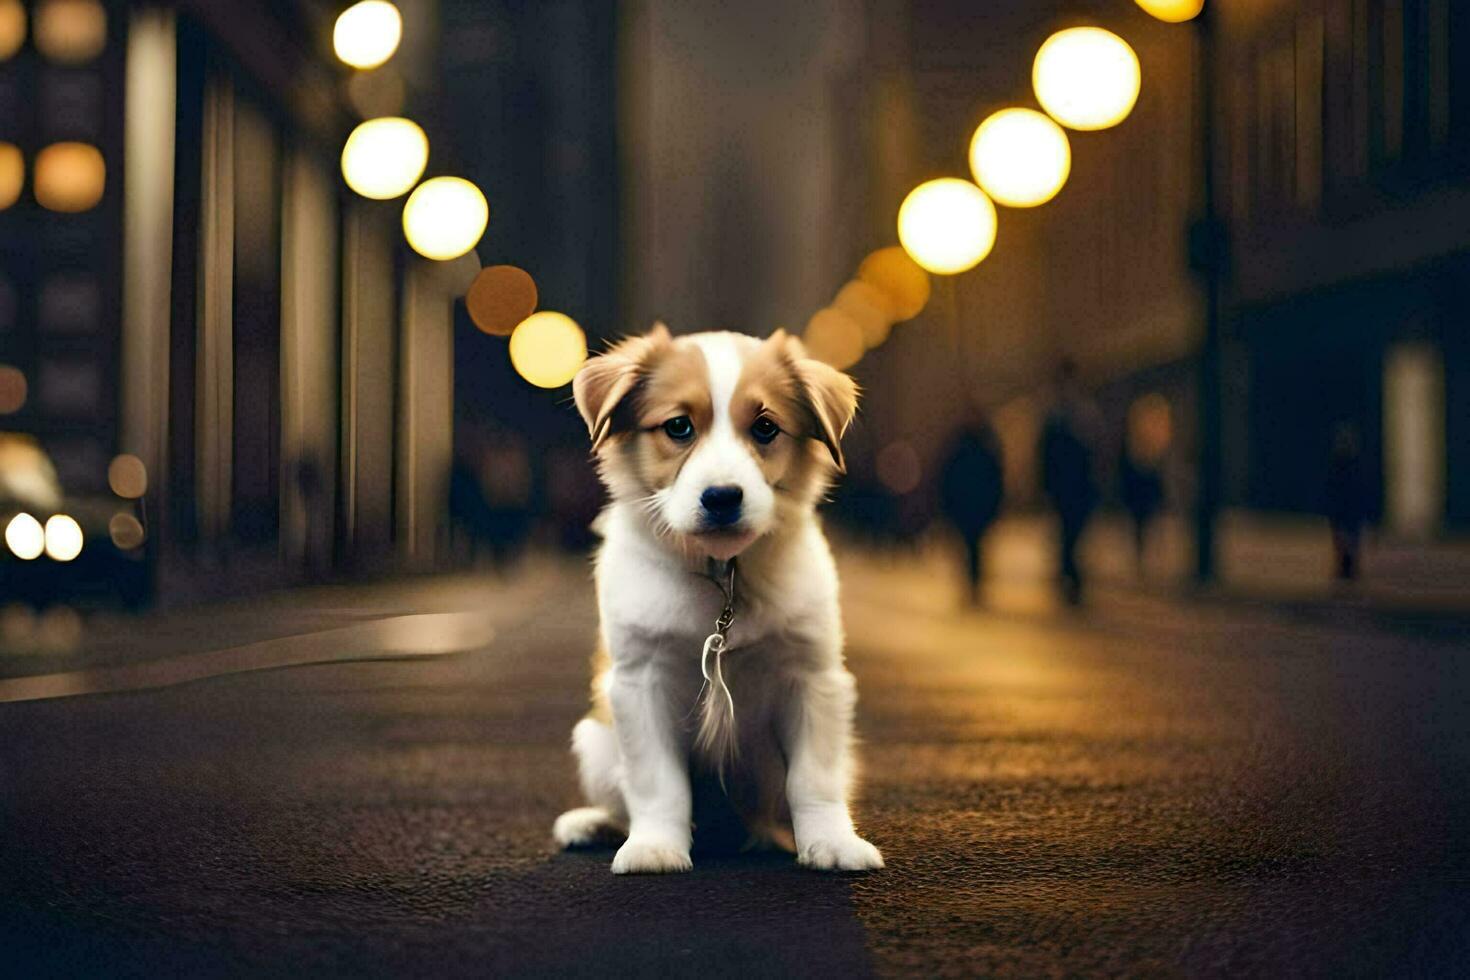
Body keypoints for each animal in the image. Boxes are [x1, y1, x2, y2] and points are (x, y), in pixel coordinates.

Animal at [552, 326, 882, 875]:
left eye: (766, 428)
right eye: (678, 427)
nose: (723, 497)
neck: (723, 575)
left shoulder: (814, 677)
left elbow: (813, 779)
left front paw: (832, 842)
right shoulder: (640, 681)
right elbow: (657, 783)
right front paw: (655, 847)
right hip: (594, 740)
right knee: (619, 798)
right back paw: (591, 823)